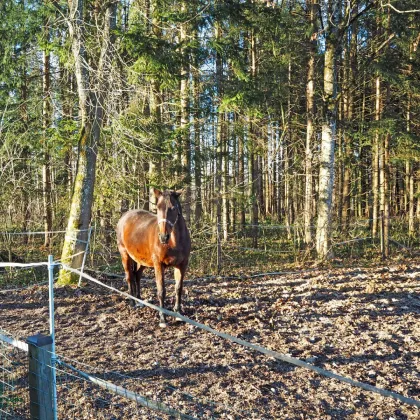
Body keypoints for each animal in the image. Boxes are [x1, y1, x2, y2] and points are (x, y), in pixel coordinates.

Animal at [117, 189, 191, 328]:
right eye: (158, 207)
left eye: (173, 208)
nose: (163, 237)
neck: (174, 242)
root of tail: (124, 217)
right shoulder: (158, 265)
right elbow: (161, 291)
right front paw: (163, 319)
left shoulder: (182, 265)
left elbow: (178, 288)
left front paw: (178, 313)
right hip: (125, 255)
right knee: (129, 277)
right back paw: (132, 302)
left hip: (142, 261)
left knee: (137, 275)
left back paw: (139, 300)